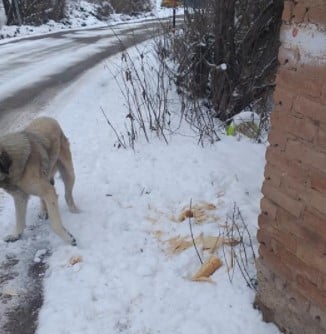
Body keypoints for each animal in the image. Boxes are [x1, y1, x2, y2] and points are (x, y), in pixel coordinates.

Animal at [0, 117, 79, 245]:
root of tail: (49, 118)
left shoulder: (48, 191)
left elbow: (55, 225)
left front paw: (67, 238)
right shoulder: (20, 197)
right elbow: (19, 220)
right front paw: (16, 235)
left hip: (69, 173)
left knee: (68, 196)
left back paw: (75, 211)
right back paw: (43, 211)